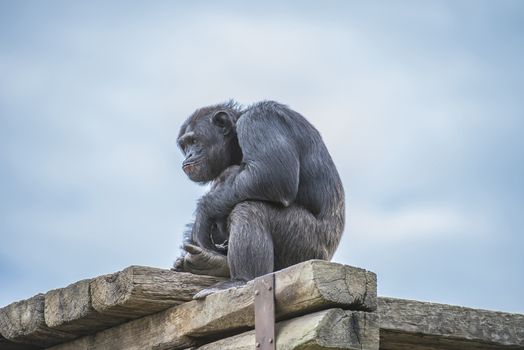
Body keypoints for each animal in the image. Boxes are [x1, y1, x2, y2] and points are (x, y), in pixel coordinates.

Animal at [174, 99, 346, 298]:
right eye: (185, 145)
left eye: (194, 141)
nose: (189, 154)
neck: (236, 143)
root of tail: (327, 257)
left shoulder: (259, 121)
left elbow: (271, 174)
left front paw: (202, 215)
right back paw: (213, 263)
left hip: (306, 245)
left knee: (250, 208)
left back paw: (241, 279)